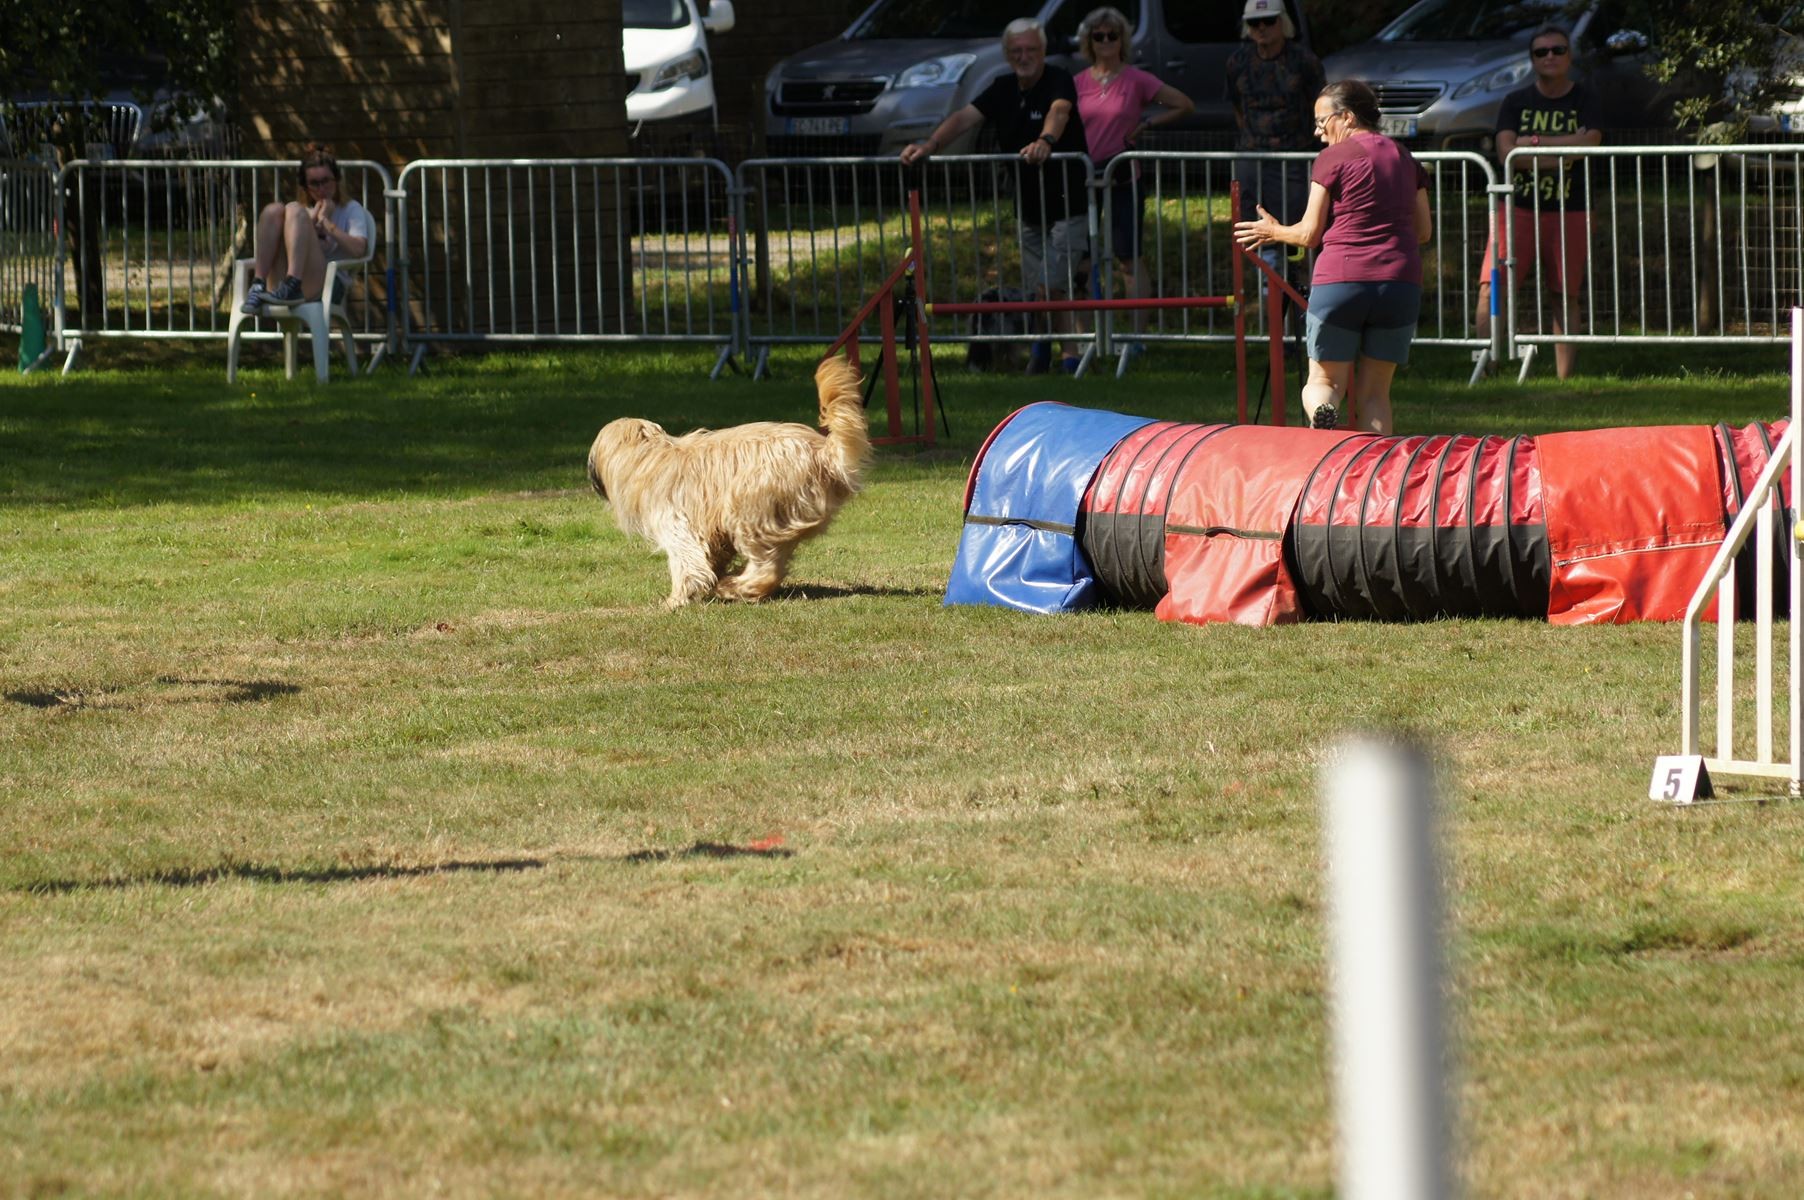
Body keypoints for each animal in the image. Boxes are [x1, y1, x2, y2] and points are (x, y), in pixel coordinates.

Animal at [588, 351, 869, 602]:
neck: (647, 455)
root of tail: (824, 454)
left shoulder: (676, 520)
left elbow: (686, 559)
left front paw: (677, 599)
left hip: (751, 506)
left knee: (765, 566)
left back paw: (735, 587)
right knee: (774, 563)